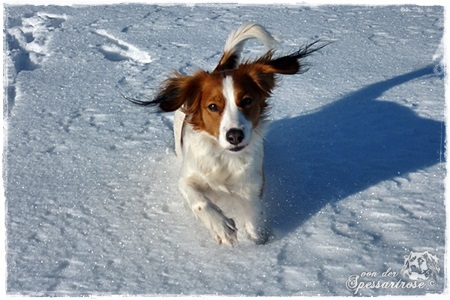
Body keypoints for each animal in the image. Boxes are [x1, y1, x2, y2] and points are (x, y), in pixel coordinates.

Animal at [126, 22, 326, 245]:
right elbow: (199, 200)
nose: (235, 136)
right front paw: (222, 227)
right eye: (213, 106)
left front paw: (260, 242)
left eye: (247, 101)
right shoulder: (188, 177)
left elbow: (255, 218)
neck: (225, 156)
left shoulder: (252, 185)